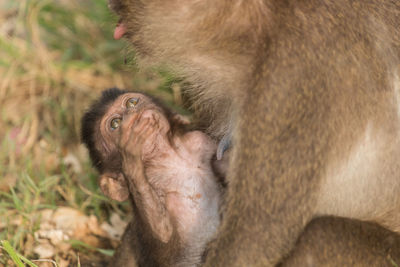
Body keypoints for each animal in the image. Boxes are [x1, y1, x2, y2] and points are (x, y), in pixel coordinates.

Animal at [81, 88, 219, 267]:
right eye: (115, 123)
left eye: (132, 102)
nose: (131, 112)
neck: (172, 160)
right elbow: (163, 232)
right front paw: (131, 155)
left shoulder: (199, 140)